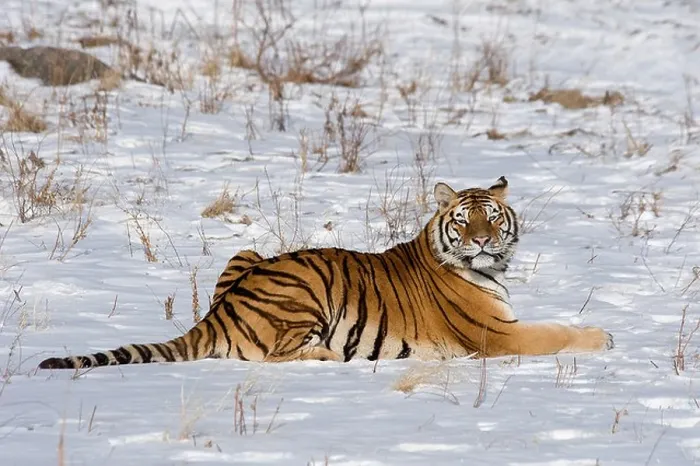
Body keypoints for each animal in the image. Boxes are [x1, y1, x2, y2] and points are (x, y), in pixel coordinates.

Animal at [38, 177, 613, 369]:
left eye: (492, 218)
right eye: (463, 220)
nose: (482, 241)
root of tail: (217, 315)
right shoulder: (498, 336)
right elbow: (555, 332)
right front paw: (604, 336)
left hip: (245, 251)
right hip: (306, 290)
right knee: (273, 357)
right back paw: (332, 356)